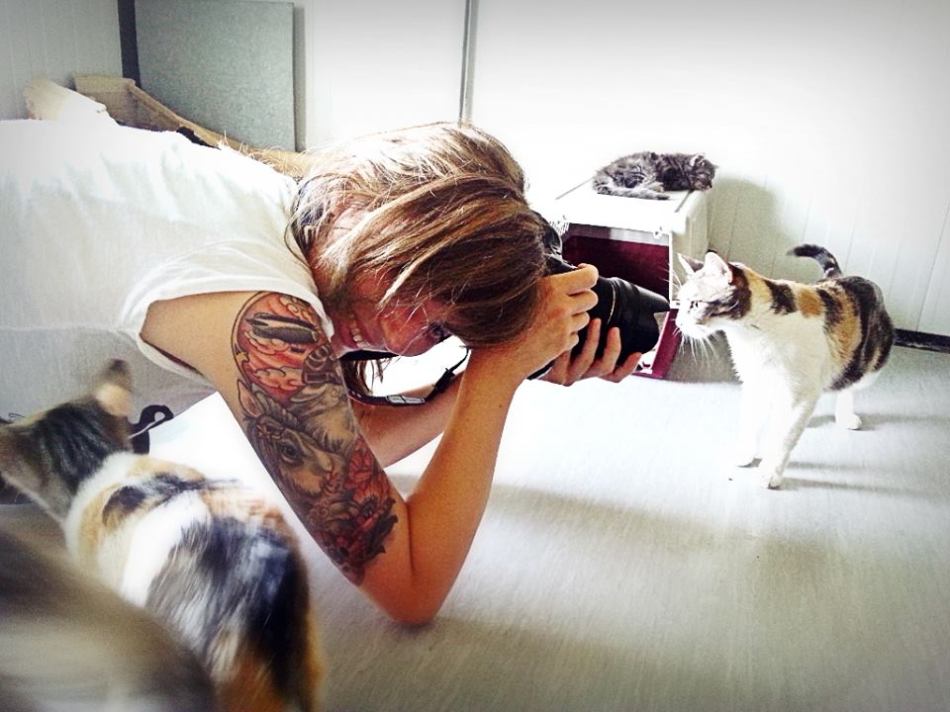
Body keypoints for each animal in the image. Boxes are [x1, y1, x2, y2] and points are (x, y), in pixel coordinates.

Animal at [675, 245, 894, 489]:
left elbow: (783, 438)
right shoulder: (756, 383)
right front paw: (745, 454)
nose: (678, 323)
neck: (751, 333)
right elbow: (750, 423)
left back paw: (844, 415)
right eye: (680, 303)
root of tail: (842, 276)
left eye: (695, 304)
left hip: (867, 366)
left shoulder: (800, 392)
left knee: (848, 386)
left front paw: (770, 472)